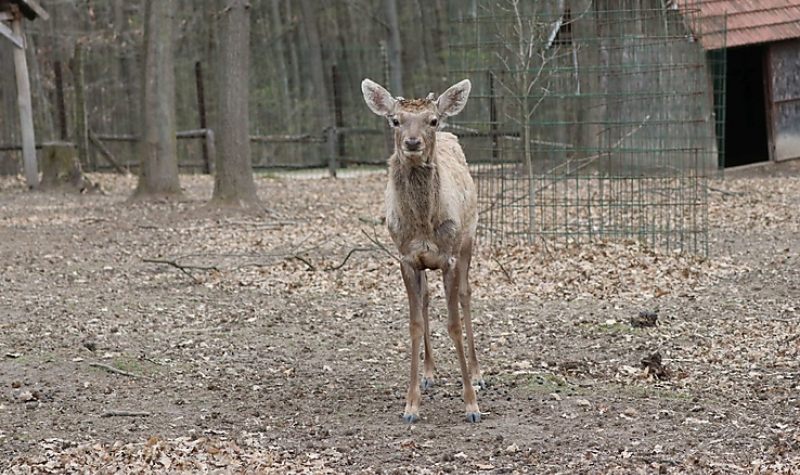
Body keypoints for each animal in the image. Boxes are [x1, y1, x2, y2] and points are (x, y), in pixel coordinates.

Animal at [360, 78, 482, 424]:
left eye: (433, 120)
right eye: (395, 120)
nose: (412, 143)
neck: (424, 224)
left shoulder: (450, 256)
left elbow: (453, 324)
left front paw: (471, 405)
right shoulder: (407, 259)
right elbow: (414, 324)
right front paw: (411, 405)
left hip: (468, 240)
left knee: (467, 294)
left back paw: (478, 373)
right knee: (427, 300)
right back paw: (429, 374)